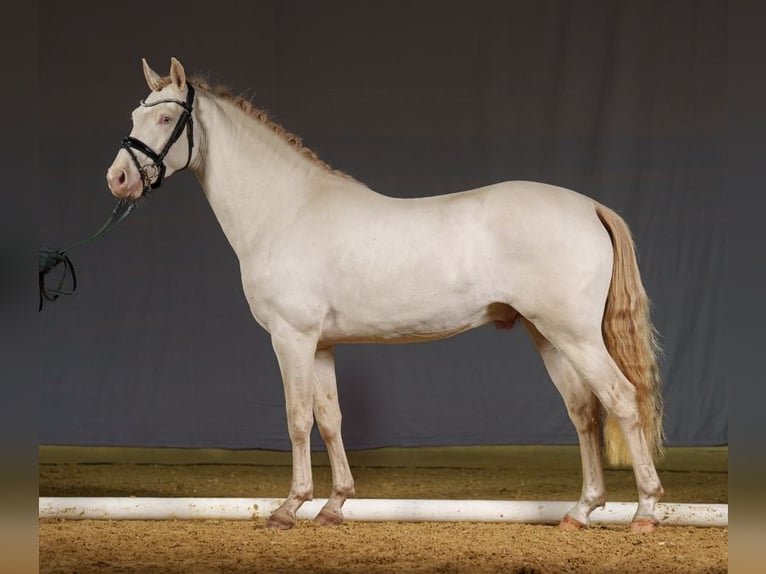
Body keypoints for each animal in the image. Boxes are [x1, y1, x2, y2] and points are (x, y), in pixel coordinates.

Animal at [106, 56, 664, 532]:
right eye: (135, 114)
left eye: (164, 119)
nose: (118, 178)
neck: (287, 210)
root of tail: (589, 206)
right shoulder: (322, 344)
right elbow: (331, 420)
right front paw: (334, 505)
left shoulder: (291, 338)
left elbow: (297, 419)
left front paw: (289, 507)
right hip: (546, 333)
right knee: (584, 411)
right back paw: (582, 510)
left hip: (575, 335)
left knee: (621, 399)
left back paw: (645, 511)